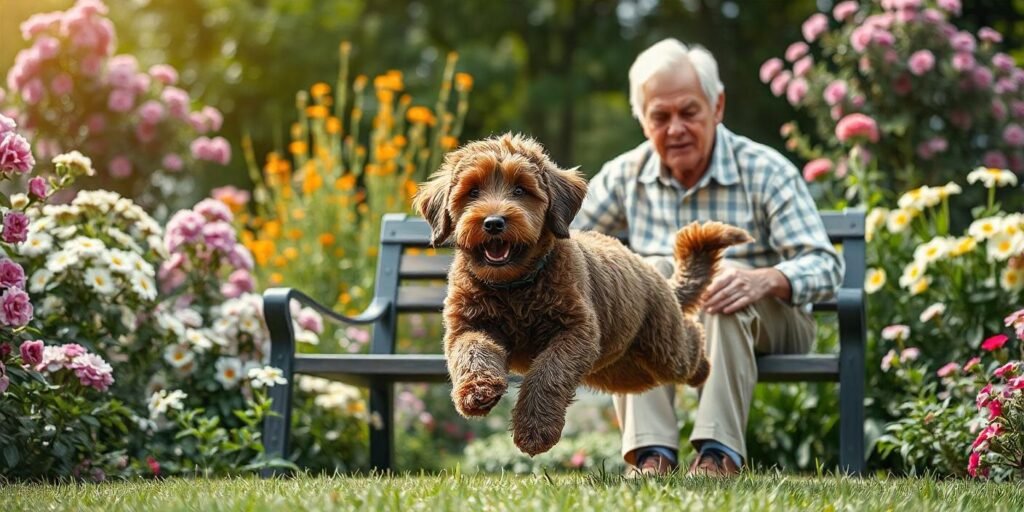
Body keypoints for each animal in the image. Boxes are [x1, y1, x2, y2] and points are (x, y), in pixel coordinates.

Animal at [413, 133, 753, 456]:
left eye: (520, 190)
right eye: (472, 192)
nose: (493, 222)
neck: (515, 287)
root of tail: (655, 274)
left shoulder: (576, 332)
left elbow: (548, 373)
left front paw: (535, 430)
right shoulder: (467, 325)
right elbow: (472, 351)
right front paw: (477, 391)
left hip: (663, 349)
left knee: (690, 338)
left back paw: (703, 368)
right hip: (622, 370)